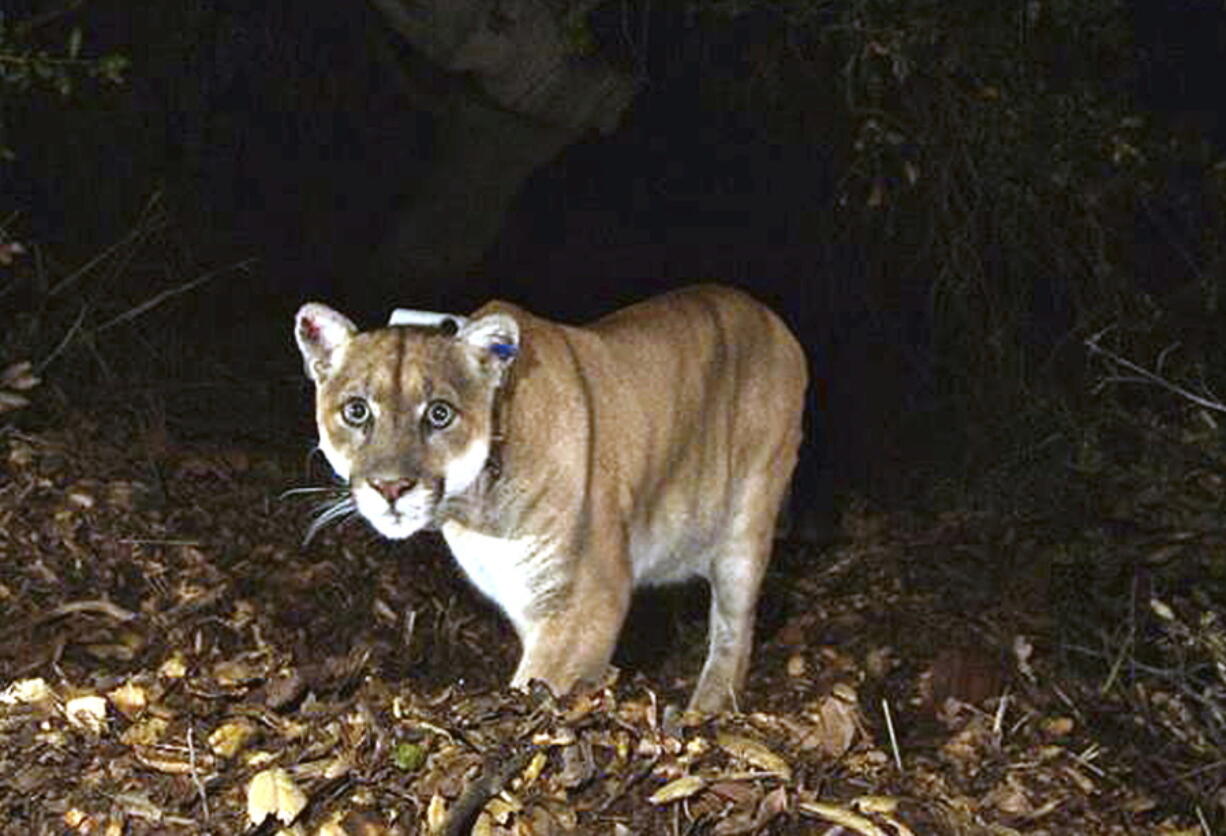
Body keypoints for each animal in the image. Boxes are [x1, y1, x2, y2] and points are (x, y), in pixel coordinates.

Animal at [296, 283, 809, 706]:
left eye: (440, 414)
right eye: (357, 411)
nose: (391, 487)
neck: (476, 511)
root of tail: (771, 316)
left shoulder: (587, 599)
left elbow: (537, 685)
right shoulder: (527, 599)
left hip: (747, 520)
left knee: (734, 630)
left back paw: (706, 707)